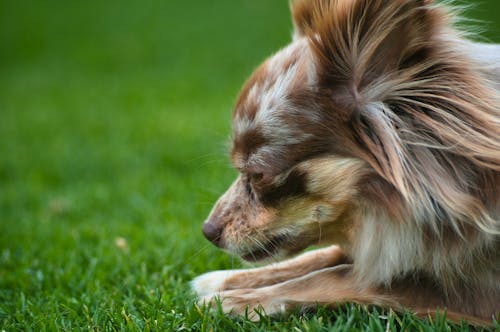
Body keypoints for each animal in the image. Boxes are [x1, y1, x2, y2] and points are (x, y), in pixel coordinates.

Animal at [190, 0, 496, 326]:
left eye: (258, 174)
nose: (208, 230)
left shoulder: (474, 290)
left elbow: (337, 277)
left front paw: (234, 301)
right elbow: (323, 257)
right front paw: (225, 280)